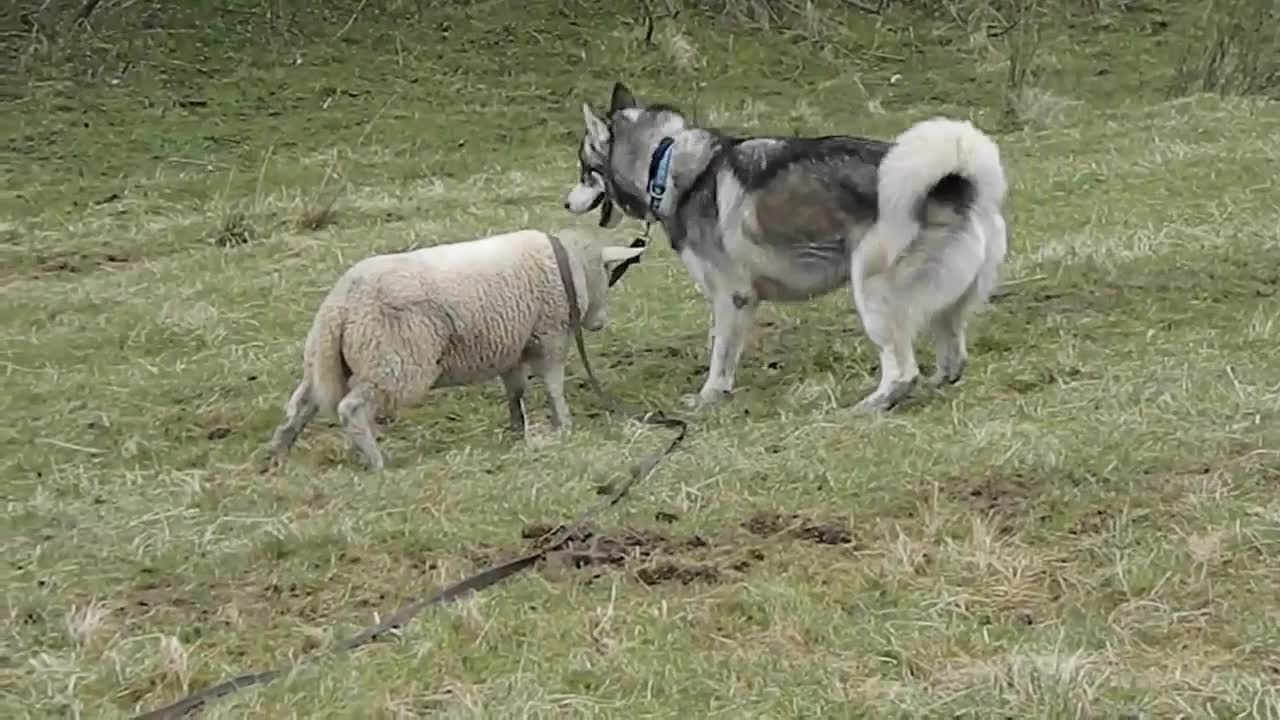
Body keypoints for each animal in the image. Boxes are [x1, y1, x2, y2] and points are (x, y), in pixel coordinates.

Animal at [267, 225, 650, 471]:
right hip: (393, 362)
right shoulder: (549, 337)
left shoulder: (511, 347)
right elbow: (554, 387)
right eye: (609, 276)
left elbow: (516, 392)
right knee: (351, 409)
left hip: (326, 361)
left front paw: (518, 431)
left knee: (300, 405)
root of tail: (342, 303)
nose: (599, 323)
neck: (570, 267)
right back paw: (376, 462)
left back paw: (277, 454)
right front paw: (565, 426)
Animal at [565, 79, 1003, 409]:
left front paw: (709, 398)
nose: (565, 204)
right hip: (943, 308)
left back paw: (869, 407)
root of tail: (954, 186)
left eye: (585, 170)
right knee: (952, 362)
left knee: (902, 373)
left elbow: (719, 355)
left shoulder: (732, 297)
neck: (664, 162)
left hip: (874, 293)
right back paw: (928, 388)